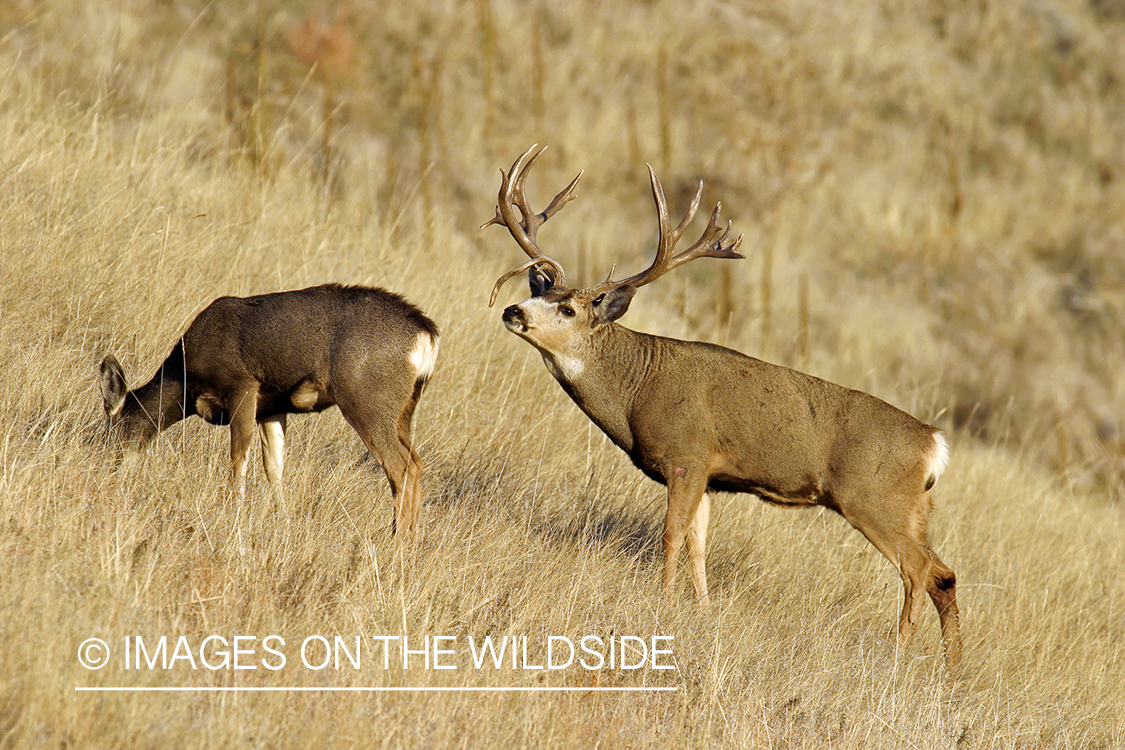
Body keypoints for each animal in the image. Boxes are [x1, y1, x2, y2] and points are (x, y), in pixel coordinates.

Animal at [99, 284, 436, 541]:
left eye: (113, 430)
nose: (111, 472)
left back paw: (398, 540)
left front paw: (233, 511)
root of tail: (427, 336)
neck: (184, 381)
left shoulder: (242, 385)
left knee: (401, 466)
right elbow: (274, 467)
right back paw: (410, 538)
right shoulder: (271, 409)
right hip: (403, 409)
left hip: (366, 399)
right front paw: (283, 519)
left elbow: (238, 457)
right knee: (416, 463)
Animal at [486, 145, 967, 670]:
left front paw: (662, 601)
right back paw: (953, 669)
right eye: (536, 291)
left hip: (873, 497)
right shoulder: (708, 475)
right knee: (944, 575)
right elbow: (698, 545)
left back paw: (898, 655)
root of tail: (933, 443)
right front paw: (701, 609)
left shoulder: (686, 456)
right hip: (914, 508)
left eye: (569, 309)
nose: (512, 311)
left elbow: (672, 536)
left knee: (917, 569)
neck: (637, 389)